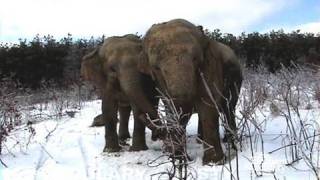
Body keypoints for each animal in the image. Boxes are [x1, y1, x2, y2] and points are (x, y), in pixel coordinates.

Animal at [138, 19, 242, 164]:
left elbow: (208, 103)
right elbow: (171, 107)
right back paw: (200, 141)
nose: (141, 116)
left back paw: (229, 142)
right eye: (156, 68)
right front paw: (178, 159)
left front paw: (213, 162)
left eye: (195, 59)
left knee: (228, 109)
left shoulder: (210, 64)